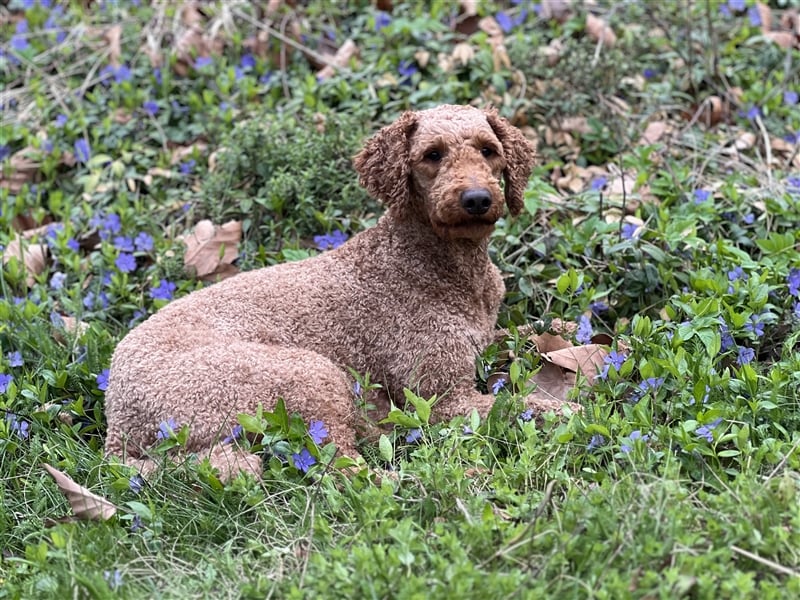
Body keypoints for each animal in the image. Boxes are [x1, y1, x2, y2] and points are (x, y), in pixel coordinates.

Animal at [103, 103, 572, 478]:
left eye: (488, 151)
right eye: (432, 155)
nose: (476, 199)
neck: (438, 267)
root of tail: (116, 426)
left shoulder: (484, 337)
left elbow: (526, 334)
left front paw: (564, 332)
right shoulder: (442, 397)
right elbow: (525, 404)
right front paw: (573, 406)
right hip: (303, 373)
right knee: (342, 468)